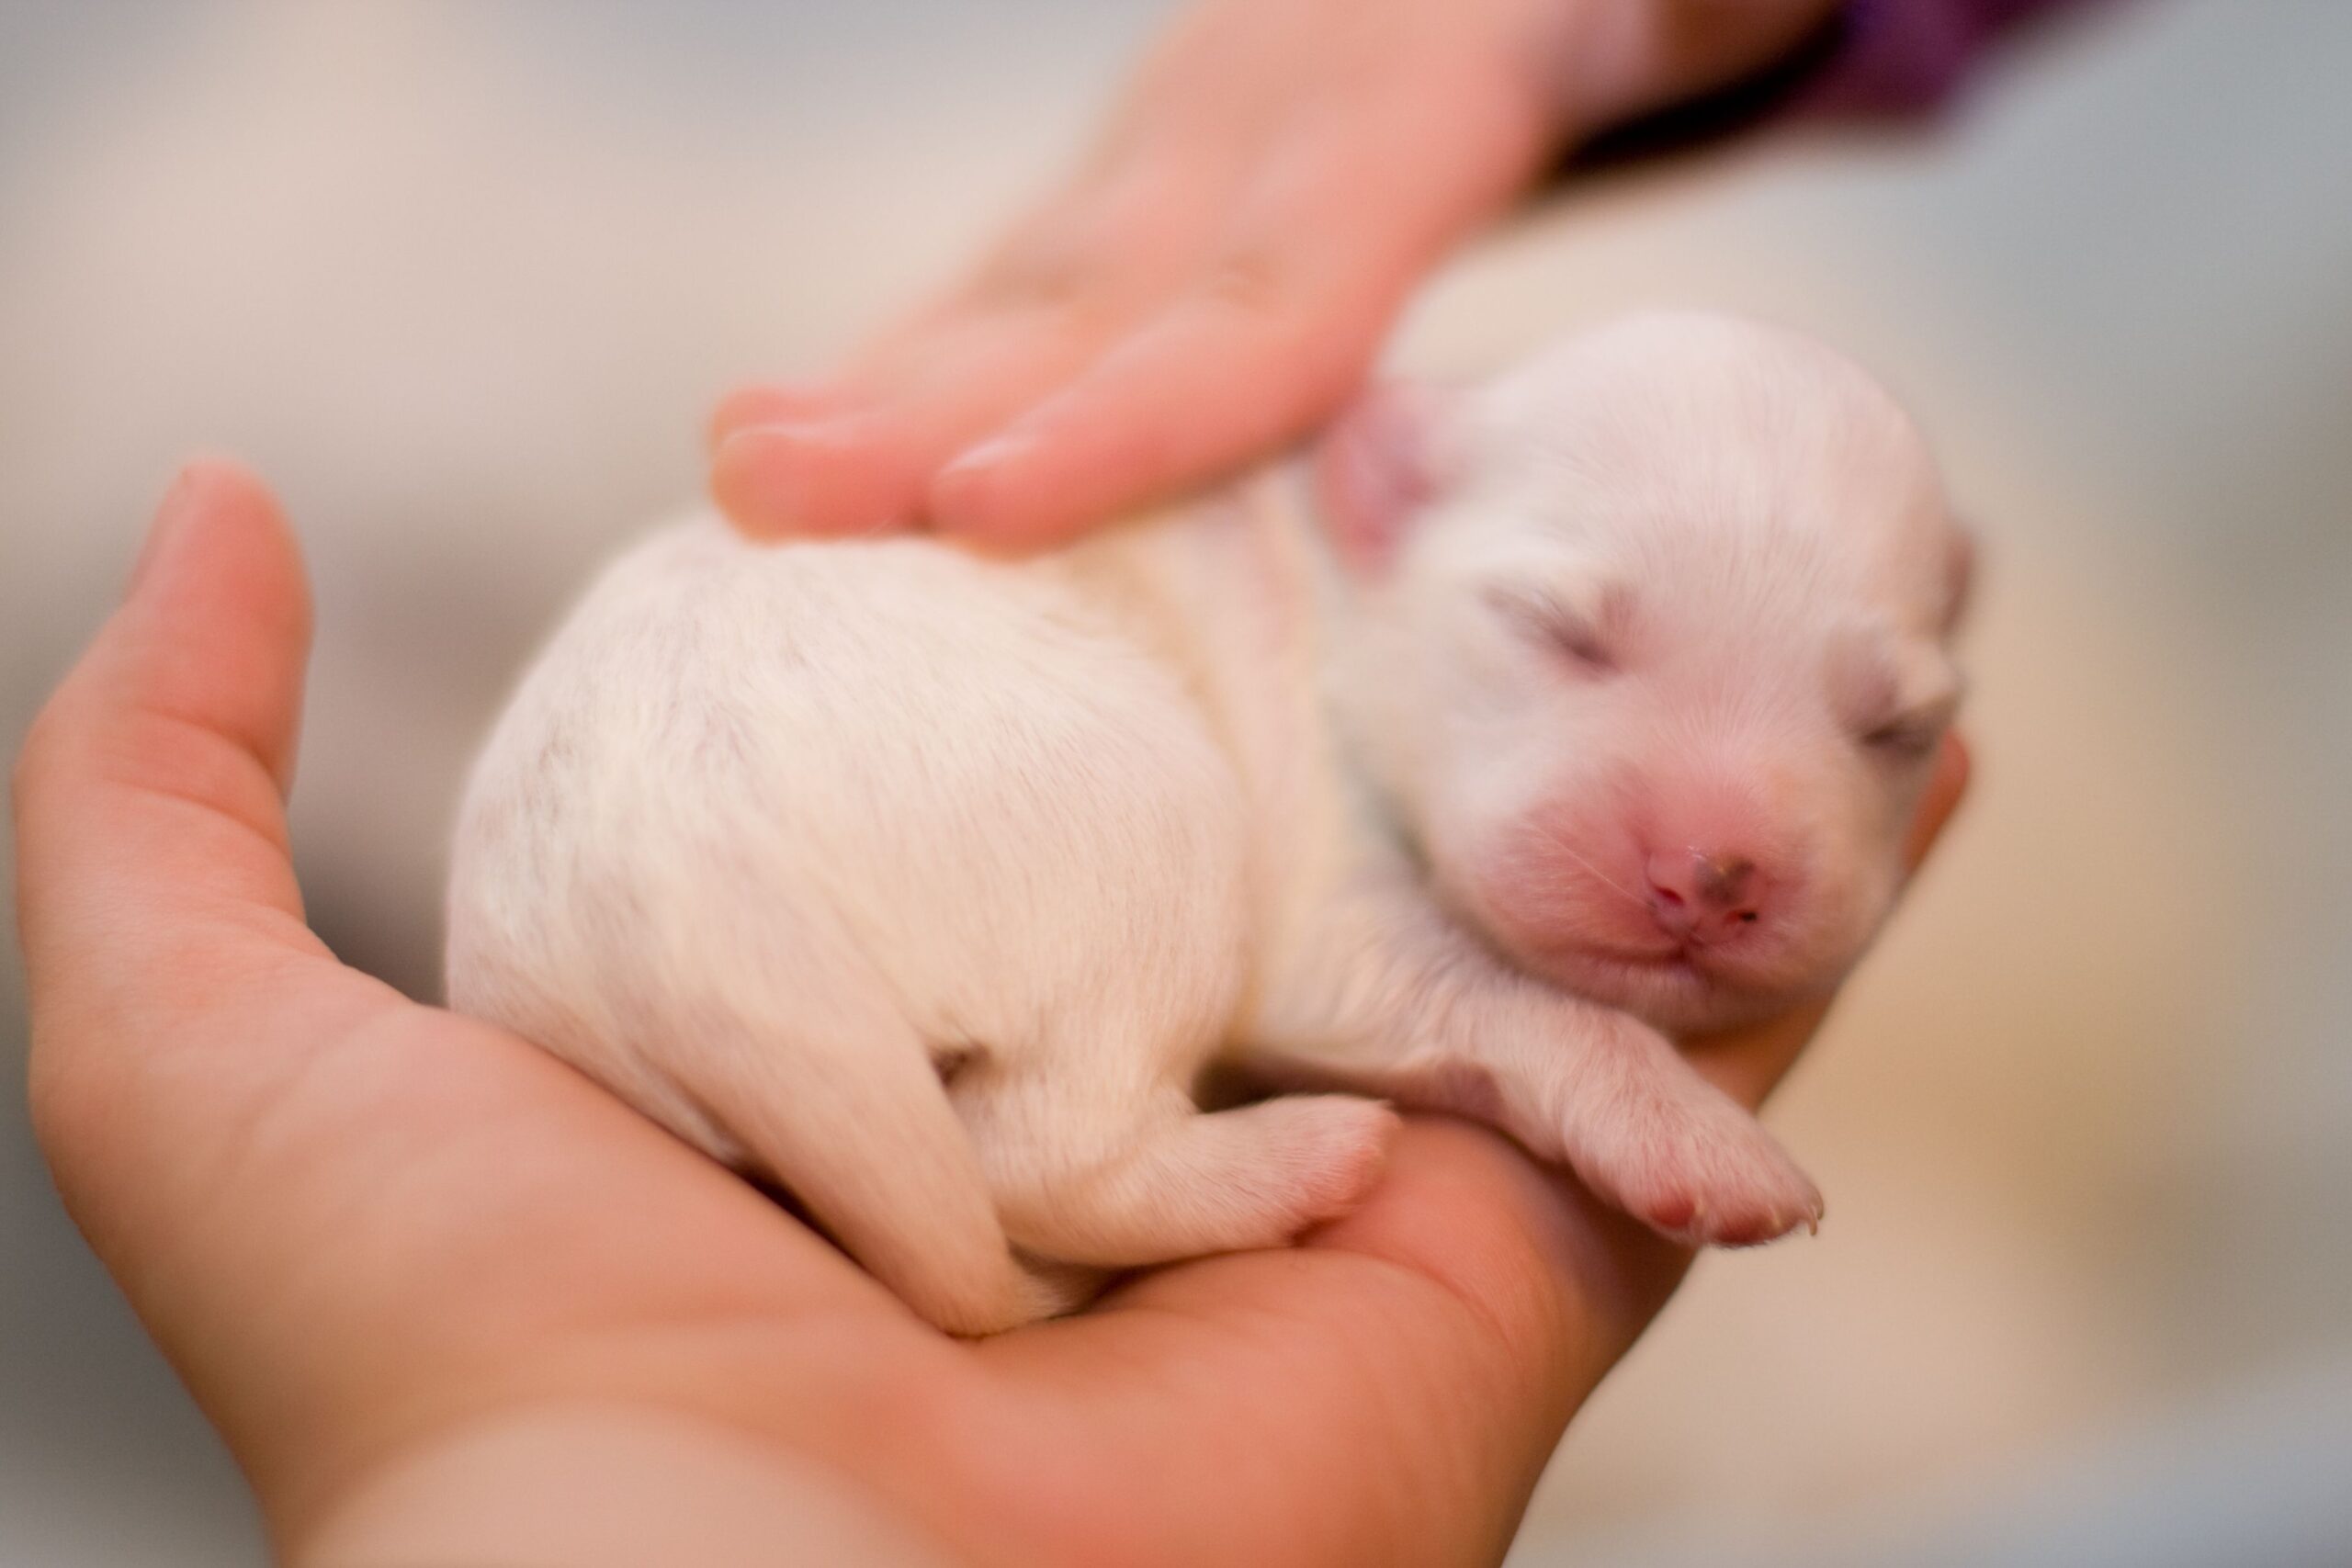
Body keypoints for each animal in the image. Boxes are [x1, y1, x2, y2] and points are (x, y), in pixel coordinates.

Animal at [442, 310, 1966, 1335]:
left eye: (1899, 727)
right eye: (1558, 629)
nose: (1715, 874)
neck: (1345, 580)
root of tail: (665, 882)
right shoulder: (1319, 881)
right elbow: (1522, 999)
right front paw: (1692, 1134)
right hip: (1158, 836)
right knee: (1047, 1150)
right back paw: (1295, 1158)